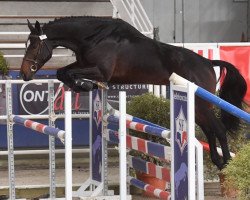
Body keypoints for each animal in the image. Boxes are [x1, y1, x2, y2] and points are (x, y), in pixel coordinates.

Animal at [20, 17, 246, 170]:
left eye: (35, 45)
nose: (24, 74)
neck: (93, 37)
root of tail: (208, 62)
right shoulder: (84, 64)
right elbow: (62, 72)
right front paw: (85, 86)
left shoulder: (100, 70)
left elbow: (70, 73)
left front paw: (85, 85)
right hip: (198, 105)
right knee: (209, 129)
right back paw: (218, 161)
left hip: (202, 101)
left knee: (218, 129)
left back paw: (226, 163)